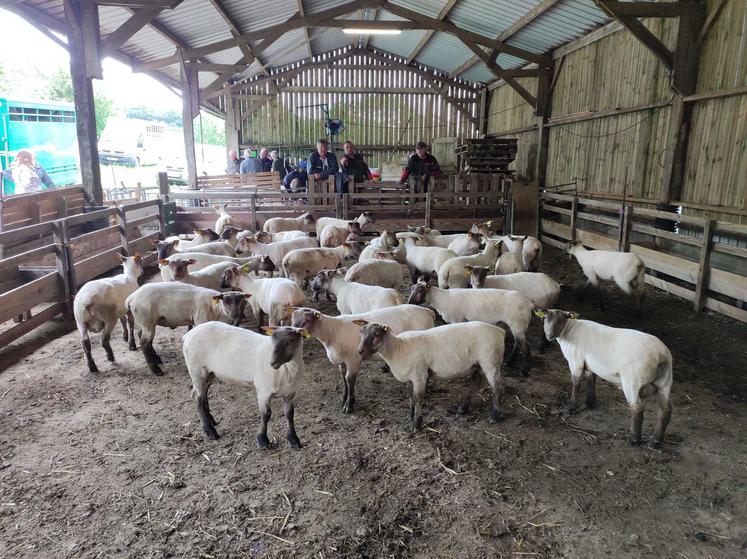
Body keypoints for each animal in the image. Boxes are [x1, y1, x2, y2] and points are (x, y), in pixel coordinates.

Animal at [182, 322, 310, 448]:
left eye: (292, 339)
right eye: (272, 339)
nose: (272, 362)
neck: (288, 369)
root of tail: (187, 335)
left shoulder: (290, 393)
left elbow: (290, 414)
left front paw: (294, 440)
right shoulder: (264, 391)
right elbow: (266, 415)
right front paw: (262, 440)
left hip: (209, 373)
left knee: (203, 395)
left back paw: (211, 421)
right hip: (197, 370)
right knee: (198, 398)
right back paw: (210, 431)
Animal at [290, 304, 436, 414]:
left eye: (306, 321)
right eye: (292, 320)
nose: (293, 335)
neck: (332, 332)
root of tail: (427, 311)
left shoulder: (353, 360)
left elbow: (349, 380)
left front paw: (349, 405)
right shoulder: (343, 361)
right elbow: (343, 378)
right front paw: (344, 398)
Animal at [356, 320, 508, 428]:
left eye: (377, 334)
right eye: (361, 332)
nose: (359, 351)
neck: (398, 349)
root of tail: (500, 331)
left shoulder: (419, 375)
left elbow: (418, 398)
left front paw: (417, 424)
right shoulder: (410, 378)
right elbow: (411, 397)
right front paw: (411, 416)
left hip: (491, 362)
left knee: (498, 389)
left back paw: (494, 416)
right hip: (478, 365)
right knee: (476, 384)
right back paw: (463, 408)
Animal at [406, 282, 536, 374]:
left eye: (420, 290)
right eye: (412, 289)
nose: (409, 302)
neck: (441, 299)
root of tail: (529, 303)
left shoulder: (457, 319)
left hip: (517, 323)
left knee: (526, 346)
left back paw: (525, 370)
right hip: (516, 325)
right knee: (518, 343)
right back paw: (510, 362)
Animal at [536, 308, 676, 448]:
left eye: (562, 320)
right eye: (545, 318)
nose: (549, 335)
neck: (569, 331)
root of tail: (661, 356)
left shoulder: (576, 362)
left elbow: (576, 383)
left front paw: (571, 407)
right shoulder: (590, 364)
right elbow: (590, 379)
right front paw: (590, 403)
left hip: (632, 381)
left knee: (638, 409)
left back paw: (634, 439)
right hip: (665, 382)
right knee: (666, 410)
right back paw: (655, 441)